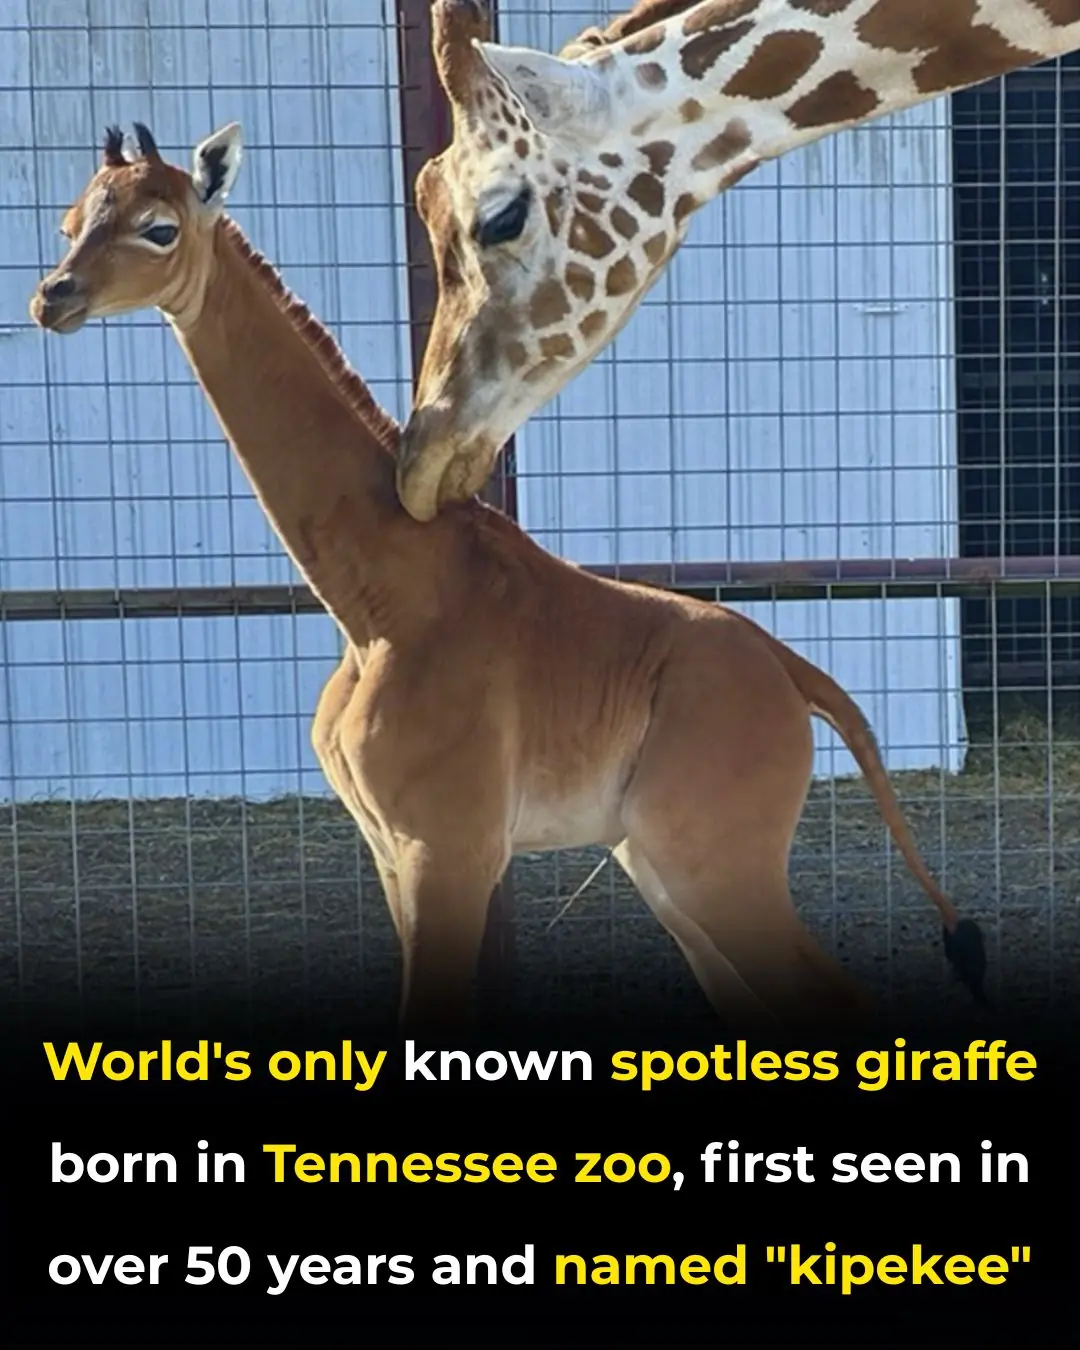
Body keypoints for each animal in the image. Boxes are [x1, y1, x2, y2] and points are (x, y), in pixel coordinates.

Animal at [30, 120, 988, 1030]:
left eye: (159, 227)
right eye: (70, 222)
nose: (53, 297)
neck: (378, 601)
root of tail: (795, 675)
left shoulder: (446, 848)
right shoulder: (392, 852)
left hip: (711, 856)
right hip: (663, 863)